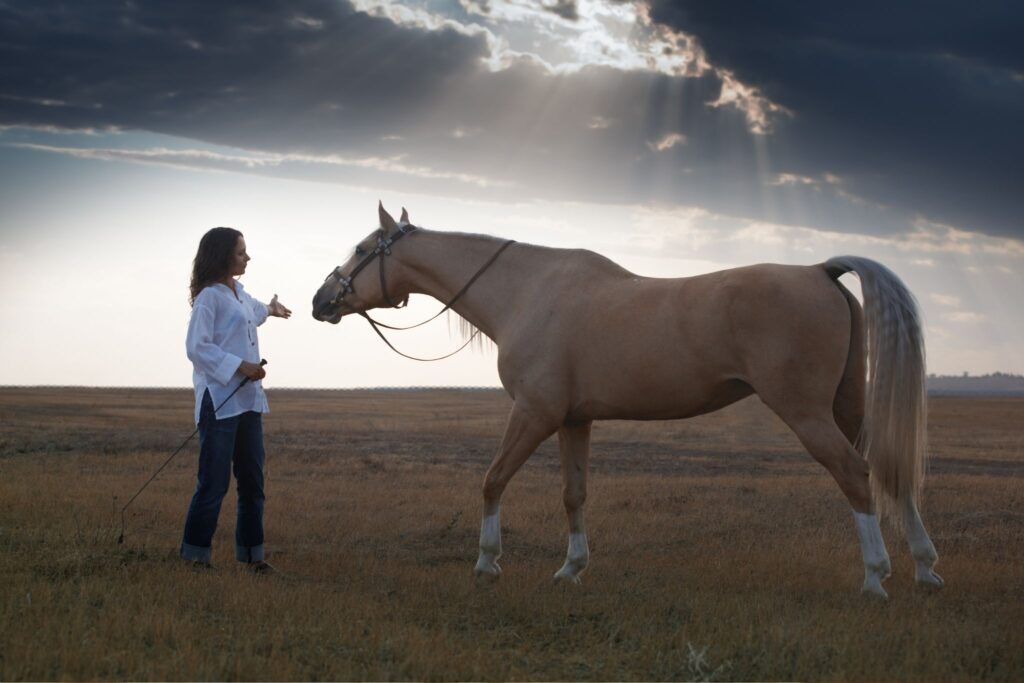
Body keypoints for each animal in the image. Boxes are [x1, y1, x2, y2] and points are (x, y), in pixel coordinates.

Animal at [311, 202, 943, 599]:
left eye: (364, 248)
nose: (321, 299)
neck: (528, 292)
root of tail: (820, 271)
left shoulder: (534, 414)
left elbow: (492, 480)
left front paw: (488, 562)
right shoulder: (574, 421)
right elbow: (574, 495)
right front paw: (571, 568)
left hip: (807, 413)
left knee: (855, 474)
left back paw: (876, 576)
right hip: (846, 408)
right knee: (887, 470)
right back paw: (925, 568)